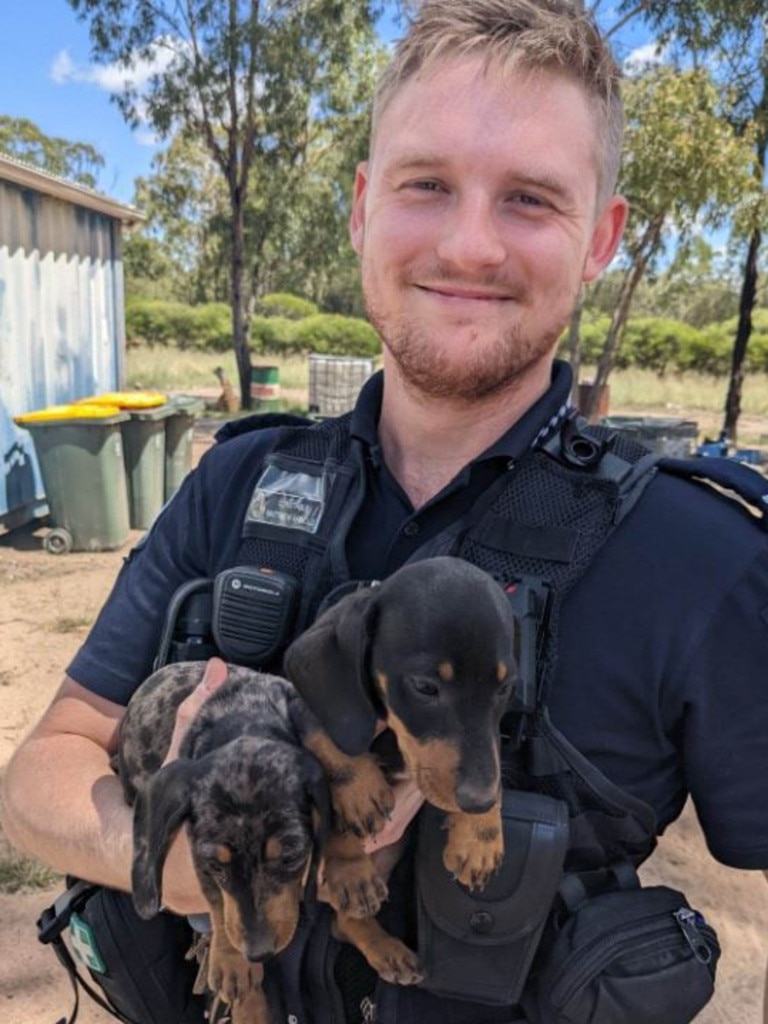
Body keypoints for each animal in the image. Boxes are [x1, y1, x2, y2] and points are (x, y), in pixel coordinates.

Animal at [280, 561, 518, 950]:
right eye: (425, 687)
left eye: (505, 688)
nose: (478, 802)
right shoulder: (304, 710)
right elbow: (333, 742)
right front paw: (360, 798)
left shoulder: (489, 741)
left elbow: (492, 752)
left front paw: (481, 836)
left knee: (344, 923)